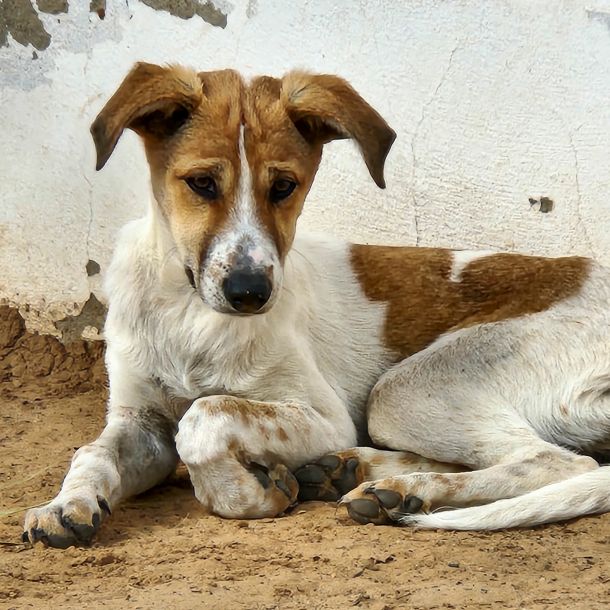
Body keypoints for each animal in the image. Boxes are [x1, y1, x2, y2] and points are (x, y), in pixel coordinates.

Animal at [21, 61, 608, 548]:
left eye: (284, 186)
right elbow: (93, 452)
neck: (188, 312)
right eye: (201, 183)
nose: (250, 293)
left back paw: (407, 488)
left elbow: (205, 417)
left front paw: (248, 494)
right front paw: (66, 504)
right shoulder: (138, 417)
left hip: (402, 390)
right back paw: (353, 472)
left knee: (557, 461)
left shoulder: (324, 416)